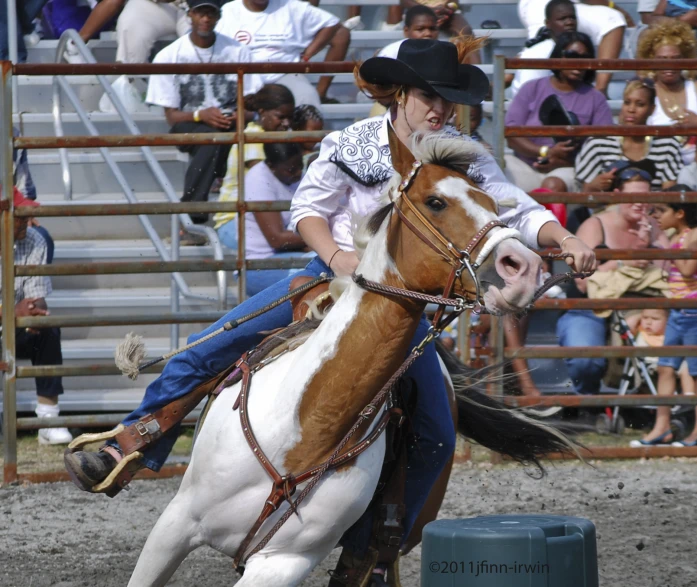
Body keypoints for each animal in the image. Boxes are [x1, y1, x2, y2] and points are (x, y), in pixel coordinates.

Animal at [128, 126, 572, 584]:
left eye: (494, 204)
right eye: (436, 201)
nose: (522, 268)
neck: (307, 427)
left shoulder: (283, 563)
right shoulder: (176, 524)